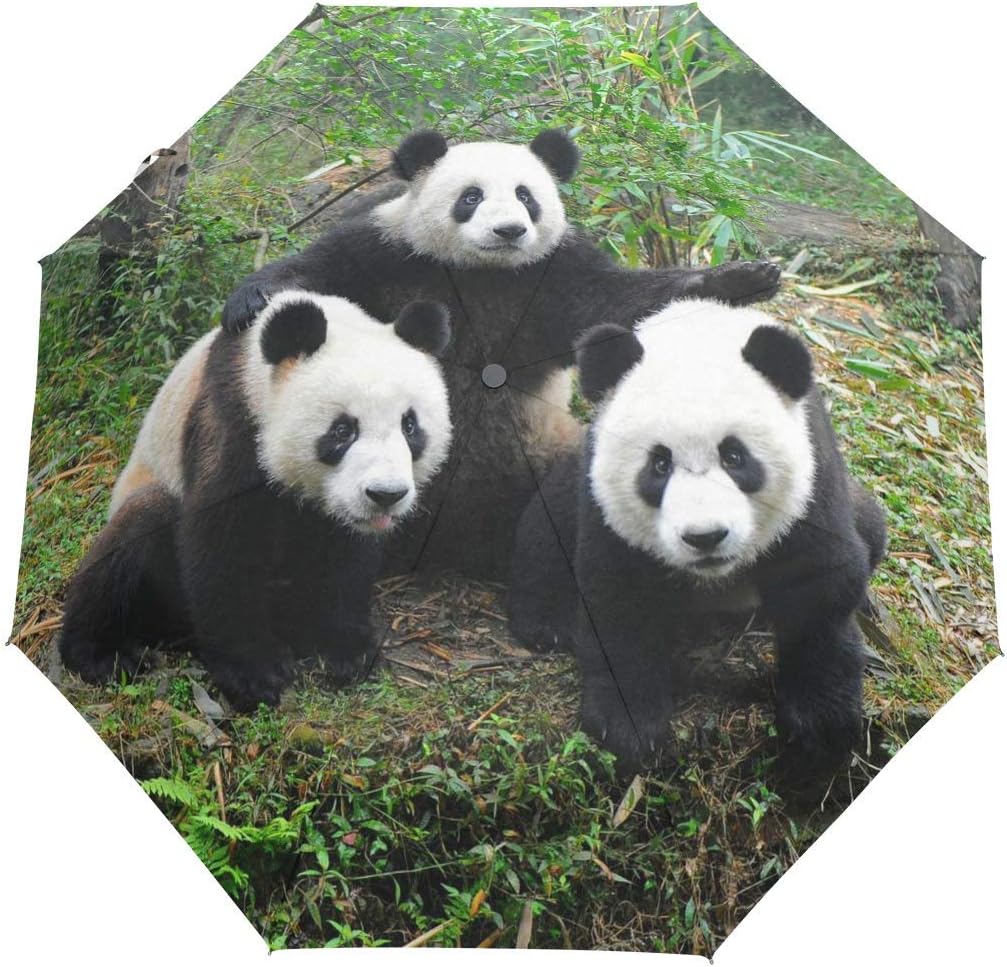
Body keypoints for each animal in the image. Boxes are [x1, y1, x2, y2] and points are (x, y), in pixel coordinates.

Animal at [59, 293, 453, 710]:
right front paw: (254, 674)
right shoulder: (232, 424)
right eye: (342, 431)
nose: (386, 495)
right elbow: (222, 549)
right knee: (134, 534)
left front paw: (348, 648)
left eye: (409, 426)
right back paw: (103, 654)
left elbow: (346, 555)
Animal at [219, 129, 782, 579]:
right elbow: (318, 272)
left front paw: (741, 278)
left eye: (526, 196)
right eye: (471, 196)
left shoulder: (553, 275)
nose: (509, 230)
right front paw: (251, 301)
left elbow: (621, 302)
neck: (481, 272)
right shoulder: (387, 254)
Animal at [508, 300, 887, 778]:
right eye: (659, 464)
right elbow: (618, 598)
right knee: (548, 524)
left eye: (734, 456)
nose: (705, 538)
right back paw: (544, 623)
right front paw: (628, 727)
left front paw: (820, 726)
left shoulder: (812, 481)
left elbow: (824, 585)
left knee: (872, 527)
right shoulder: (605, 505)